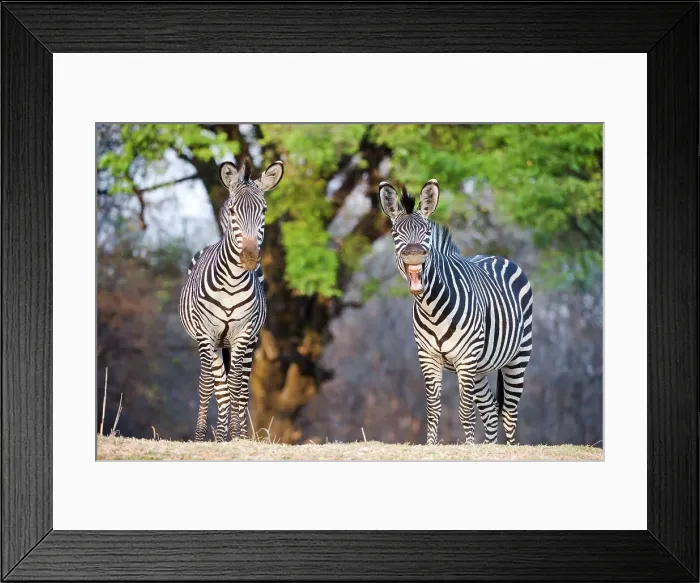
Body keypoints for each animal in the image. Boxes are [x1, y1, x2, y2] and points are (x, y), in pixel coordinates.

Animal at [179, 157, 284, 442]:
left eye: (264, 211)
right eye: (233, 212)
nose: (249, 258)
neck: (232, 283)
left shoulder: (243, 333)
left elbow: (237, 385)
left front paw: (237, 436)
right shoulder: (206, 333)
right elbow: (208, 386)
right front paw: (201, 437)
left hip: (249, 343)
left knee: (240, 387)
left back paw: (234, 435)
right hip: (214, 343)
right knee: (219, 387)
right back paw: (218, 436)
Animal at [378, 179, 533, 445]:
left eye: (426, 233)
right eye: (395, 234)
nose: (414, 254)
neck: (431, 308)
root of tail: (496, 257)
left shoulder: (466, 356)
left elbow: (464, 410)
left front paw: (469, 447)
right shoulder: (427, 356)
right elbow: (433, 408)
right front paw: (431, 446)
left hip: (518, 356)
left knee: (509, 412)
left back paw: (511, 448)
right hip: (481, 366)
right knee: (490, 410)